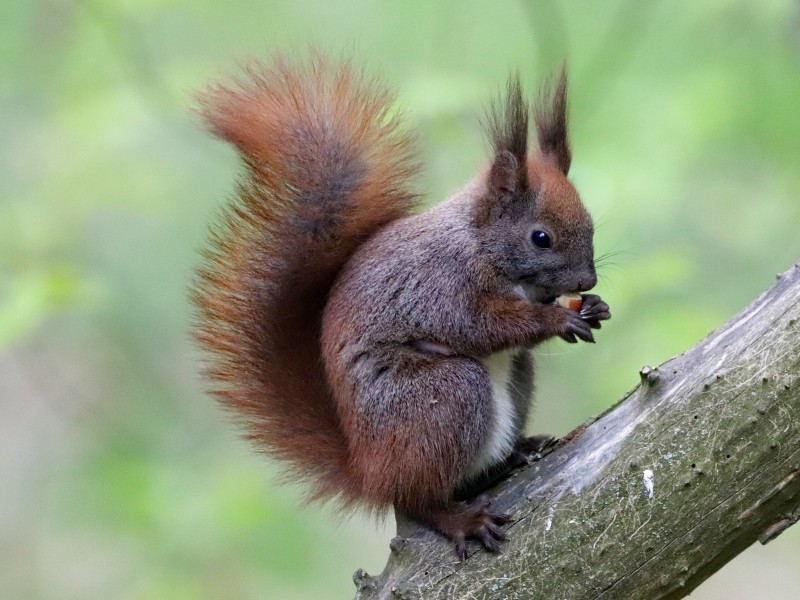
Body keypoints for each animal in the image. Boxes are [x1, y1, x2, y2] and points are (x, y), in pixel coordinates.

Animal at [191, 54, 608, 560]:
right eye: (540, 237)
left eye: (590, 223)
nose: (587, 281)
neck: (479, 243)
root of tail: (369, 469)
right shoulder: (441, 287)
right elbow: (481, 327)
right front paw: (558, 318)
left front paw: (594, 307)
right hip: (443, 396)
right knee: (416, 499)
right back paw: (459, 518)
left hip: (510, 383)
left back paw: (517, 452)